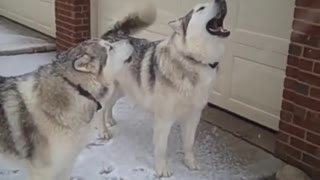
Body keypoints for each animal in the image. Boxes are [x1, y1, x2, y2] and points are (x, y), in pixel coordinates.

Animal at [0, 38, 134, 179]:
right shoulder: (43, 172)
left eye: (109, 44)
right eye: (110, 48)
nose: (130, 40)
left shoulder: (66, 163)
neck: (77, 91)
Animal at [101, 0, 231, 177]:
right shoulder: (164, 119)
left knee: (110, 105)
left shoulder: (193, 116)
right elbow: (161, 148)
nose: (221, 1)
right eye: (200, 8)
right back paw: (103, 131)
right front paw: (162, 169)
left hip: (122, 89)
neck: (193, 60)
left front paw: (190, 162)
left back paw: (110, 119)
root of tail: (112, 34)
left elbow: (189, 144)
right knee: (100, 110)